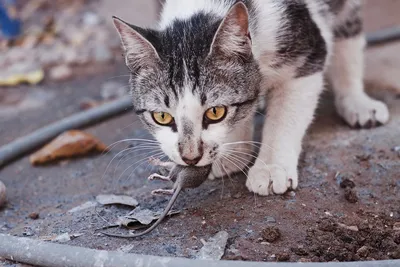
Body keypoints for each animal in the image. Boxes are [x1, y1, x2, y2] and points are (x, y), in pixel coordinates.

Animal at [111, 0, 388, 197]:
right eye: (161, 116)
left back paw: (357, 101)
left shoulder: (307, 52)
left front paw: (270, 168)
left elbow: (284, 116)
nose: (190, 158)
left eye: (215, 112)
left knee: (348, 30)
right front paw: (232, 153)